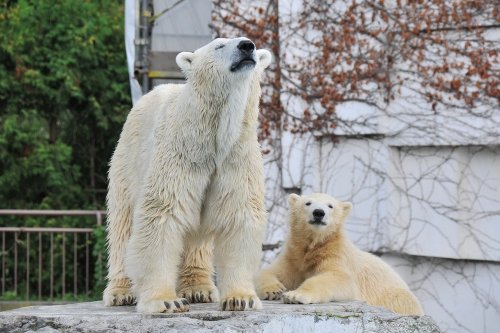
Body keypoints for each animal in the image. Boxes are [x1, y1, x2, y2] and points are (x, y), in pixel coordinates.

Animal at [103, 37, 272, 312]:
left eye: (253, 45)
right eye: (219, 45)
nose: (247, 46)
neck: (214, 136)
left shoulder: (236, 158)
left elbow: (239, 215)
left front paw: (240, 298)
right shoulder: (180, 153)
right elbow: (162, 213)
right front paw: (166, 301)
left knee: (196, 237)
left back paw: (199, 289)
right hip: (126, 163)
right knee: (122, 225)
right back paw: (121, 292)